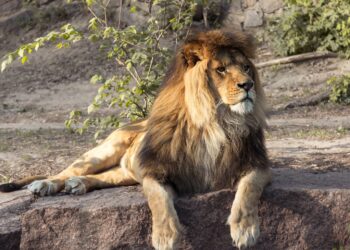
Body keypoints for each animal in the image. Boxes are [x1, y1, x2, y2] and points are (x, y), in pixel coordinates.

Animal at [0, 29, 270, 250]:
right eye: (221, 70)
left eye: (246, 67)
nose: (248, 85)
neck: (216, 122)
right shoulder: (152, 168)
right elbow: (157, 199)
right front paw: (165, 236)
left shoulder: (256, 164)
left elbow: (248, 191)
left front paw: (245, 230)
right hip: (104, 151)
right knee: (67, 170)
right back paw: (46, 184)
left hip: (125, 171)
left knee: (103, 177)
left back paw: (79, 184)